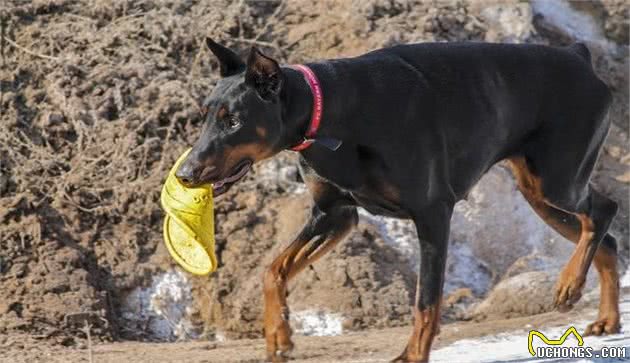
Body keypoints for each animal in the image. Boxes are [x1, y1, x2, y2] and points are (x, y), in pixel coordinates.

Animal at [175, 38, 620, 362]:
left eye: (234, 121)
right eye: (205, 115)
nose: (185, 173)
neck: (330, 114)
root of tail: (580, 57)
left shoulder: (433, 213)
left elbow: (426, 302)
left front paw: (412, 355)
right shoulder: (335, 214)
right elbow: (273, 270)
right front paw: (279, 338)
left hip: (557, 181)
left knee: (603, 212)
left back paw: (568, 285)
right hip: (538, 192)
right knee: (606, 237)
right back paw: (608, 319)